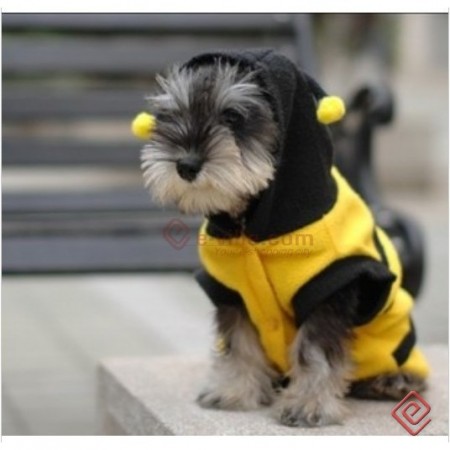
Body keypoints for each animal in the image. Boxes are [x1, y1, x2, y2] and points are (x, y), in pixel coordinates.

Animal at [139, 50, 429, 427]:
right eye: (170, 115)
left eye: (233, 116)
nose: (185, 165)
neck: (250, 224)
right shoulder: (231, 291)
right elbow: (239, 344)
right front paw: (234, 391)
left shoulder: (329, 289)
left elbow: (314, 351)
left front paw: (309, 405)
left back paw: (393, 380)